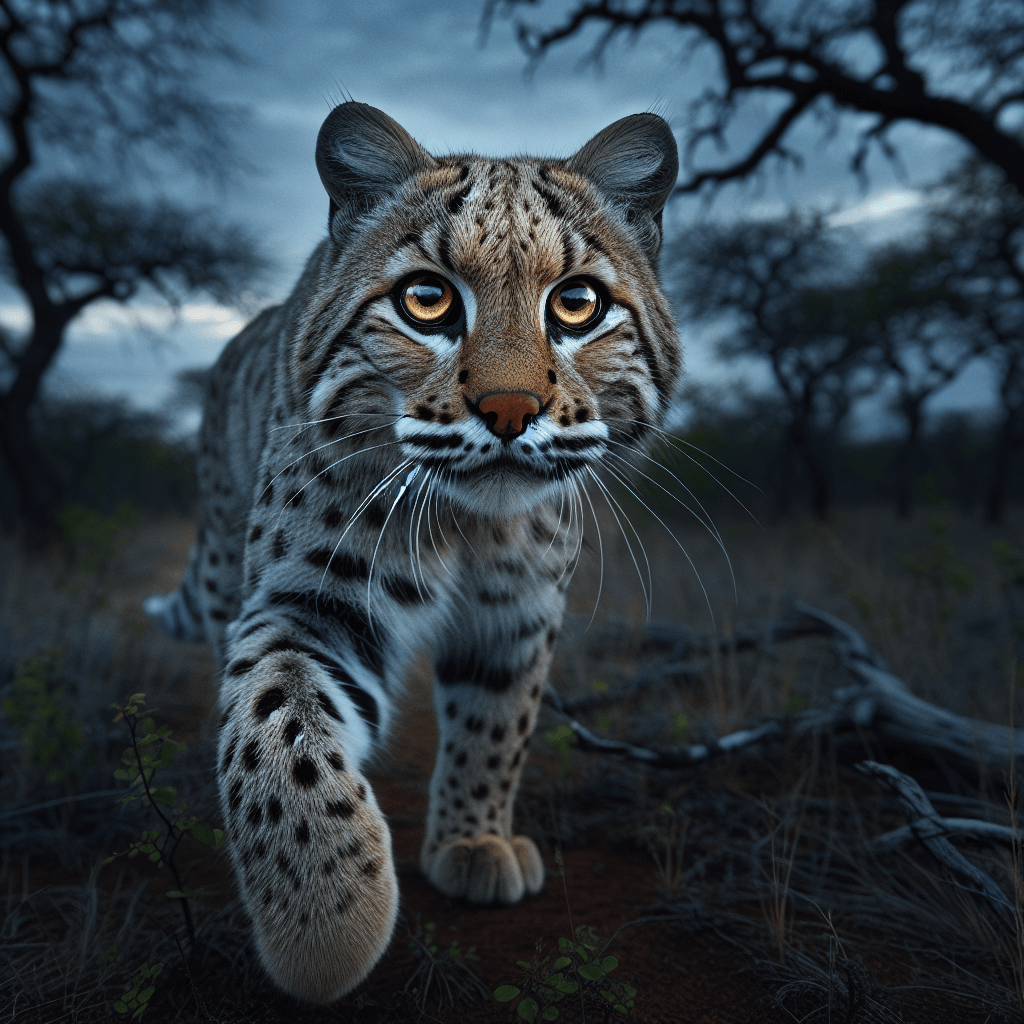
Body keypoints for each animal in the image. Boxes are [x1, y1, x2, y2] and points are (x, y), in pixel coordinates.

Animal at [144, 100, 681, 1004]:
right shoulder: (309, 597)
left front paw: (472, 840)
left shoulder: (520, 615)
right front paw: (325, 925)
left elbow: (498, 724)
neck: (475, 525)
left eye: (576, 306)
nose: (510, 410)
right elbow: (277, 723)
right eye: (426, 302)